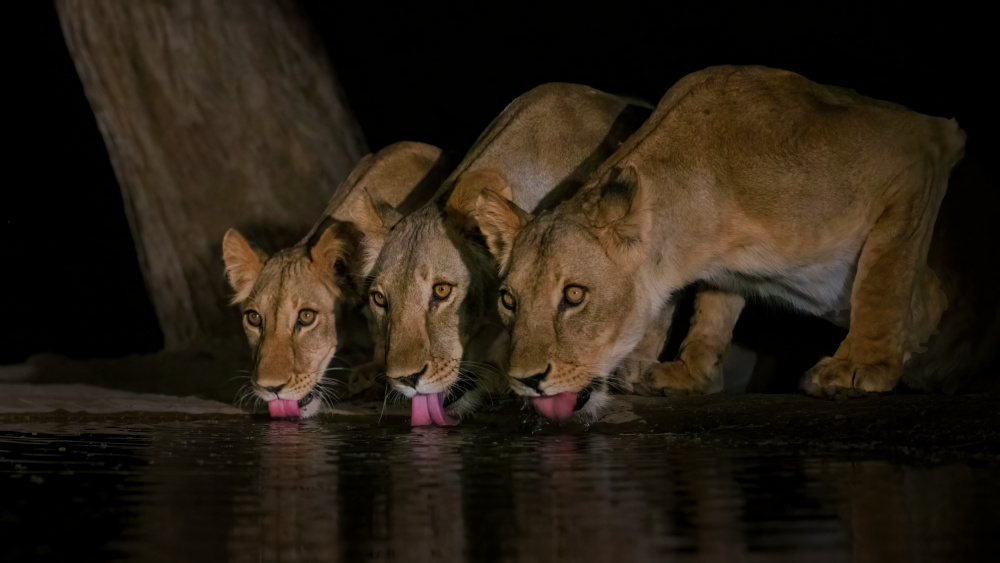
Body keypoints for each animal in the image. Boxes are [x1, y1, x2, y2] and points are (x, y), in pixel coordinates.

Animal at [473, 65, 975, 420]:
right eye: (508, 300)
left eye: (574, 296)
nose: (525, 380)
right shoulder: (725, 269)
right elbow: (712, 311)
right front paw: (689, 373)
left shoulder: (920, 150)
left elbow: (885, 280)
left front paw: (864, 366)